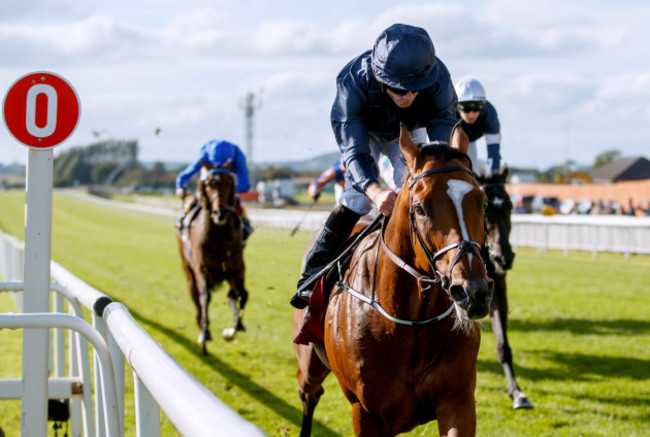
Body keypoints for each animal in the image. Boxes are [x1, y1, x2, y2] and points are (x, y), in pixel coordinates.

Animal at [175, 164, 248, 354]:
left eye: (229, 182)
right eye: (208, 184)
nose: (219, 212)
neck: (219, 238)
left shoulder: (236, 270)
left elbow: (241, 295)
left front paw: (234, 328)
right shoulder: (202, 269)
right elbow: (205, 298)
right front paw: (204, 335)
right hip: (188, 272)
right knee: (197, 299)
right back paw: (201, 326)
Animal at [292, 124, 492, 434]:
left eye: (482, 203)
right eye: (420, 208)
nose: (473, 292)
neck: (411, 321)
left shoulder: (457, 401)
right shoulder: (365, 412)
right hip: (309, 359)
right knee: (309, 393)